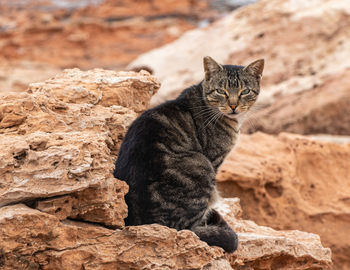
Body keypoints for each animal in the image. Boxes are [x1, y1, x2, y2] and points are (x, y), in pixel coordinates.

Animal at [113, 55, 264, 253]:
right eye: (221, 91)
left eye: (244, 91)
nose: (233, 106)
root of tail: (143, 222)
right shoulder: (214, 160)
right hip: (202, 167)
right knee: (188, 229)